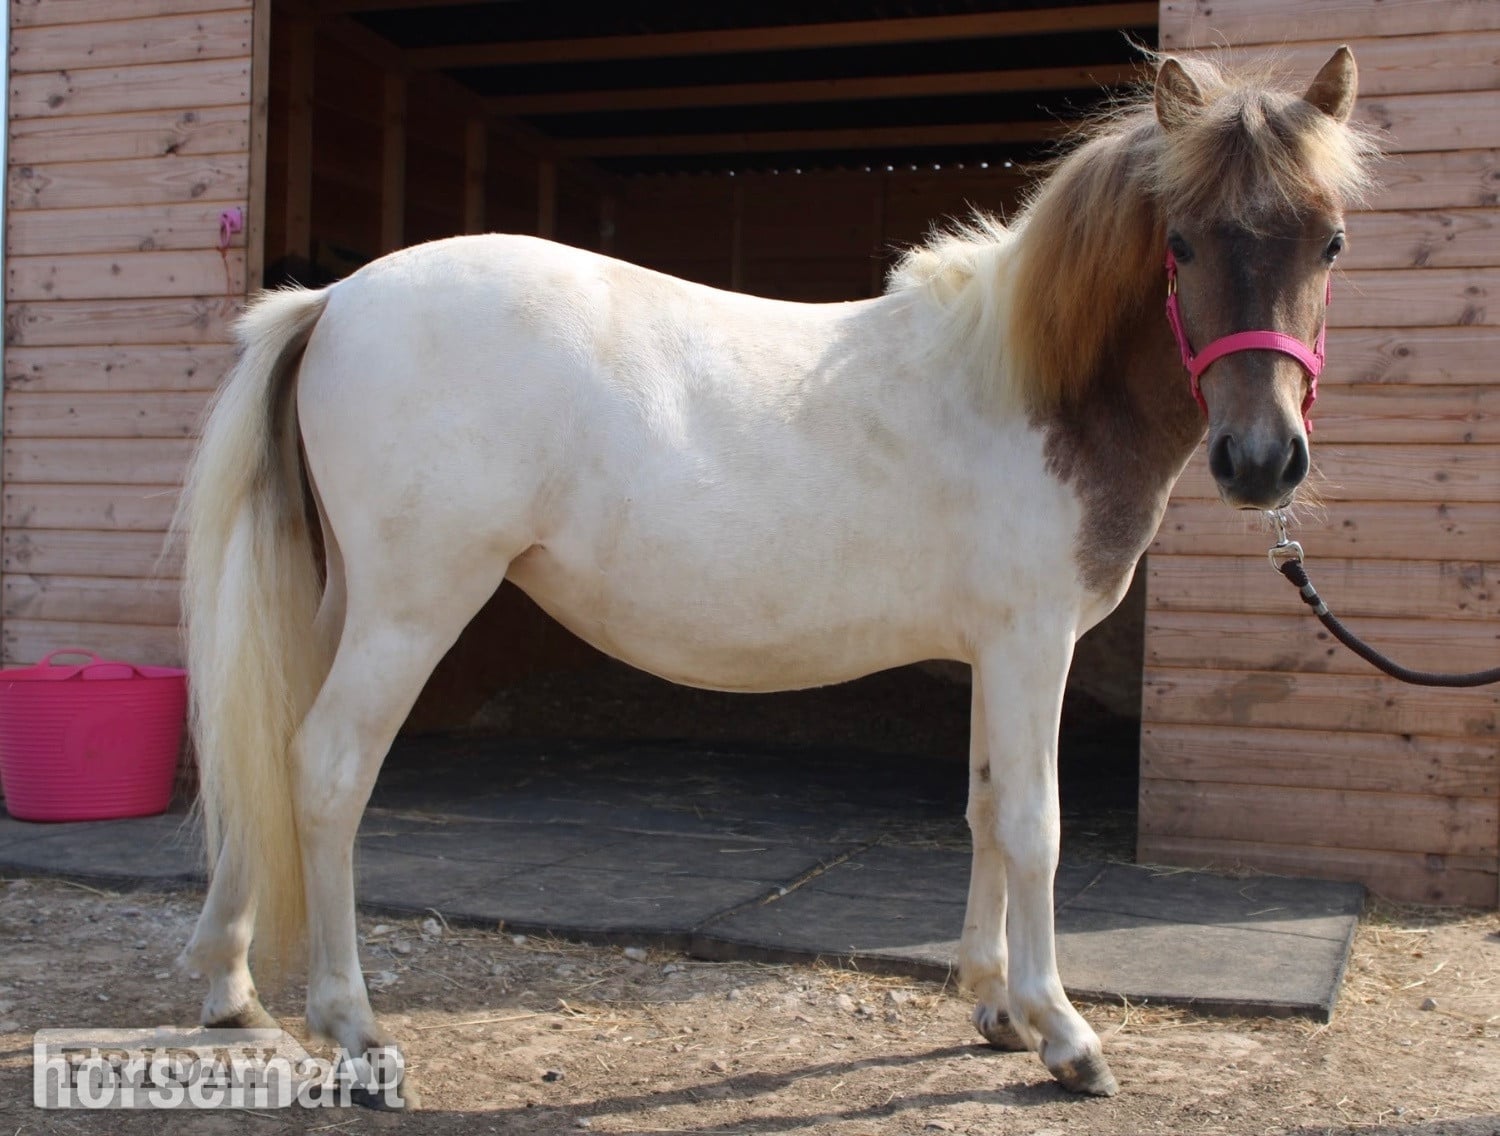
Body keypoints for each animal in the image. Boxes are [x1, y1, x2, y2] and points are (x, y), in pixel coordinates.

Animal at [177, 48, 1376, 1102]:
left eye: (1330, 243)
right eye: (1181, 243)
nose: (1263, 461)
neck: (1032, 389)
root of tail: (332, 301)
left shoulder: (993, 651)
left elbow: (987, 808)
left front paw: (994, 1005)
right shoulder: (1033, 644)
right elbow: (1036, 825)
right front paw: (1064, 1034)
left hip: (344, 602)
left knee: (266, 753)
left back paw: (231, 989)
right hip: (410, 609)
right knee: (327, 769)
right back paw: (354, 1030)